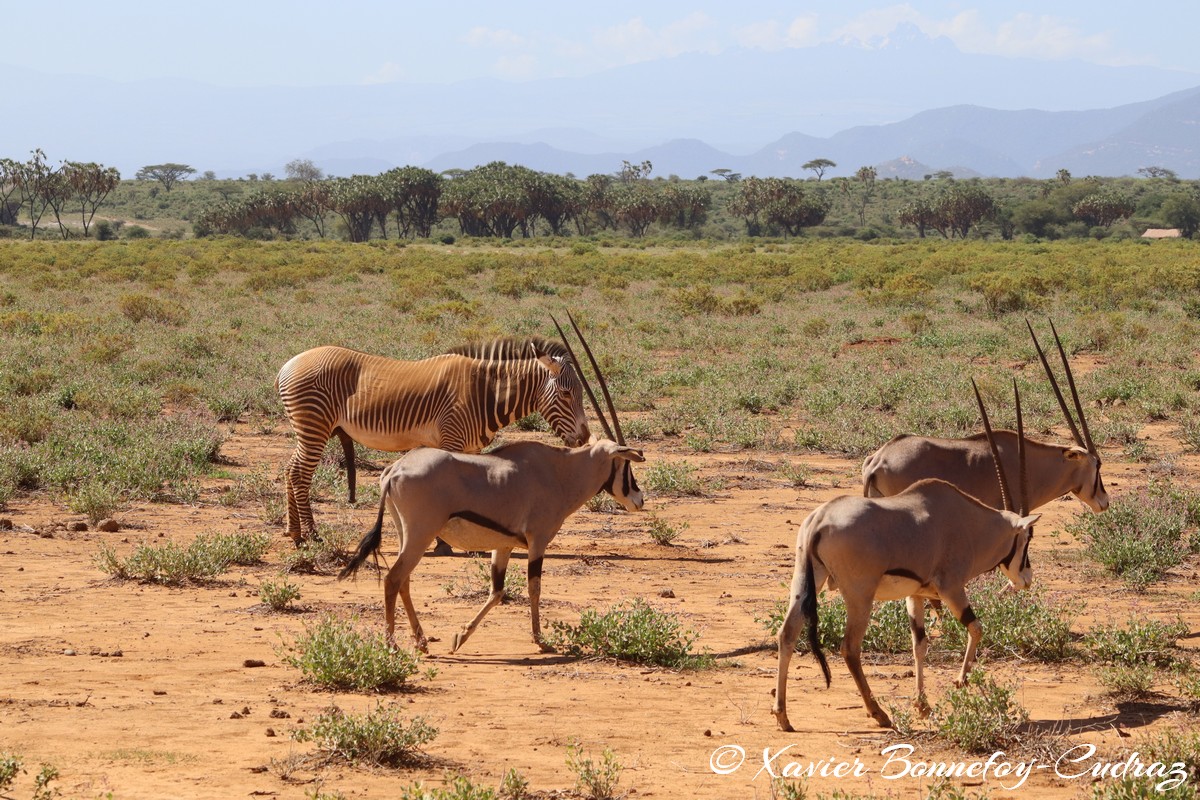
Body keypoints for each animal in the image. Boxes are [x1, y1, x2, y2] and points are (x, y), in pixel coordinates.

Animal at [280, 331, 600, 544]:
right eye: (567, 393)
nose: (584, 437)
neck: (484, 392)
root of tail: (288, 364)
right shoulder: (452, 440)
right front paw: (446, 542)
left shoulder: (470, 447)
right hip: (314, 425)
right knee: (299, 474)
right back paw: (311, 535)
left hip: (307, 429)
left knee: (290, 469)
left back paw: (294, 532)